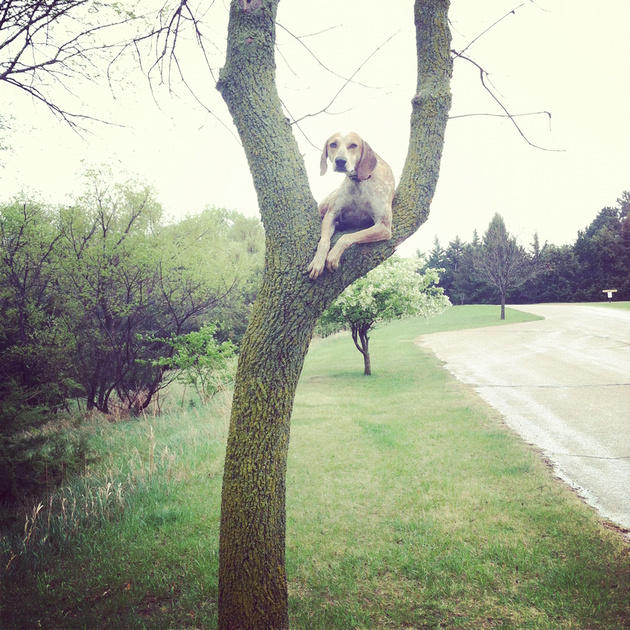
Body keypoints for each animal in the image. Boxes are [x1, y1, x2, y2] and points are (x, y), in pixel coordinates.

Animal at [308, 132, 394, 279]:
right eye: (333, 144)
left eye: (353, 145)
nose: (340, 161)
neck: (359, 181)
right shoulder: (332, 214)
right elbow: (324, 241)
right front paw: (318, 261)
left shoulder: (383, 226)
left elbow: (346, 237)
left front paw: (333, 255)